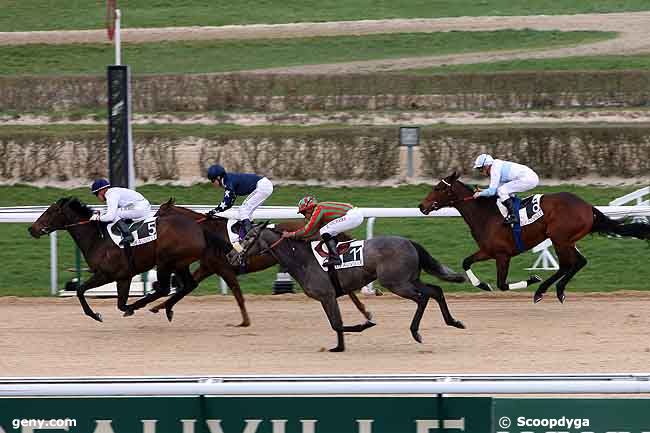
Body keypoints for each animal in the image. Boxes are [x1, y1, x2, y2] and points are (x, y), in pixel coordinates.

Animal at [27, 197, 216, 318]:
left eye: (50, 211)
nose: (31, 229)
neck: (97, 239)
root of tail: (198, 229)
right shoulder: (123, 277)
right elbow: (120, 303)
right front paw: (127, 308)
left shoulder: (106, 274)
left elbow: (80, 290)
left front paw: (95, 314)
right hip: (180, 264)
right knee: (188, 285)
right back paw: (164, 308)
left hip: (165, 261)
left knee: (164, 288)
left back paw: (148, 305)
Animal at [146, 198, 370, 324]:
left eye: (159, 212)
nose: (150, 225)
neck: (207, 232)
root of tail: (314, 227)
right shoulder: (208, 267)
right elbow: (185, 287)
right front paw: (160, 306)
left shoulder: (224, 268)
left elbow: (238, 294)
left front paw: (245, 321)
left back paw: (364, 311)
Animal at [235, 224, 464, 352]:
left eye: (248, 238)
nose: (231, 256)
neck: (302, 259)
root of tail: (410, 242)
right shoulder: (328, 297)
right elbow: (336, 324)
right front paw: (340, 346)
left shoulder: (327, 295)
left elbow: (337, 324)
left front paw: (363, 325)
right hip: (409, 279)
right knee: (435, 291)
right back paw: (454, 321)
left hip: (397, 283)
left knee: (422, 298)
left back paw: (416, 332)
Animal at [416, 172, 648, 304]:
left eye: (438, 188)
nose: (421, 206)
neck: (486, 214)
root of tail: (587, 207)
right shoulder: (488, 251)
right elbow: (466, 262)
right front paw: (482, 285)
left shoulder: (502, 255)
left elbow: (502, 284)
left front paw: (532, 279)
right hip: (567, 240)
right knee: (579, 262)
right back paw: (558, 290)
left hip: (559, 238)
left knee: (567, 264)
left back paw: (541, 290)